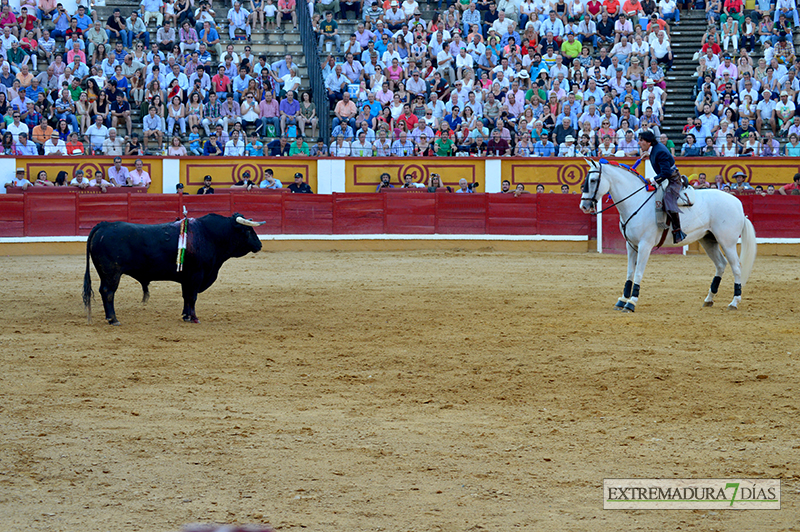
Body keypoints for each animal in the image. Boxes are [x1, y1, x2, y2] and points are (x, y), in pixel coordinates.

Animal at [84, 212, 266, 324]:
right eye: (248, 230)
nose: (259, 245)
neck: (209, 234)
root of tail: (104, 225)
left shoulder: (187, 277)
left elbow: (186, 296)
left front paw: (186, 316)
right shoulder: (197, 275)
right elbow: (192, 297)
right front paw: (194, 318)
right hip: (111, 273)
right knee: (108, 292)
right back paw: (113, 319)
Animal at [580, 161, 756, 312]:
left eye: (593, 180)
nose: (584, 206)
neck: (636, 201)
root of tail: (737, 203)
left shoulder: (645, 245)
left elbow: (638, 272)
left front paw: (631, 302)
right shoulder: (631, 245)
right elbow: (630, 272)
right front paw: (622, 300)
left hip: (727, 242)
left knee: (736, 267)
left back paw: (734, 302)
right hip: (708, 240)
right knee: (720, 264)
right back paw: (709, 299)